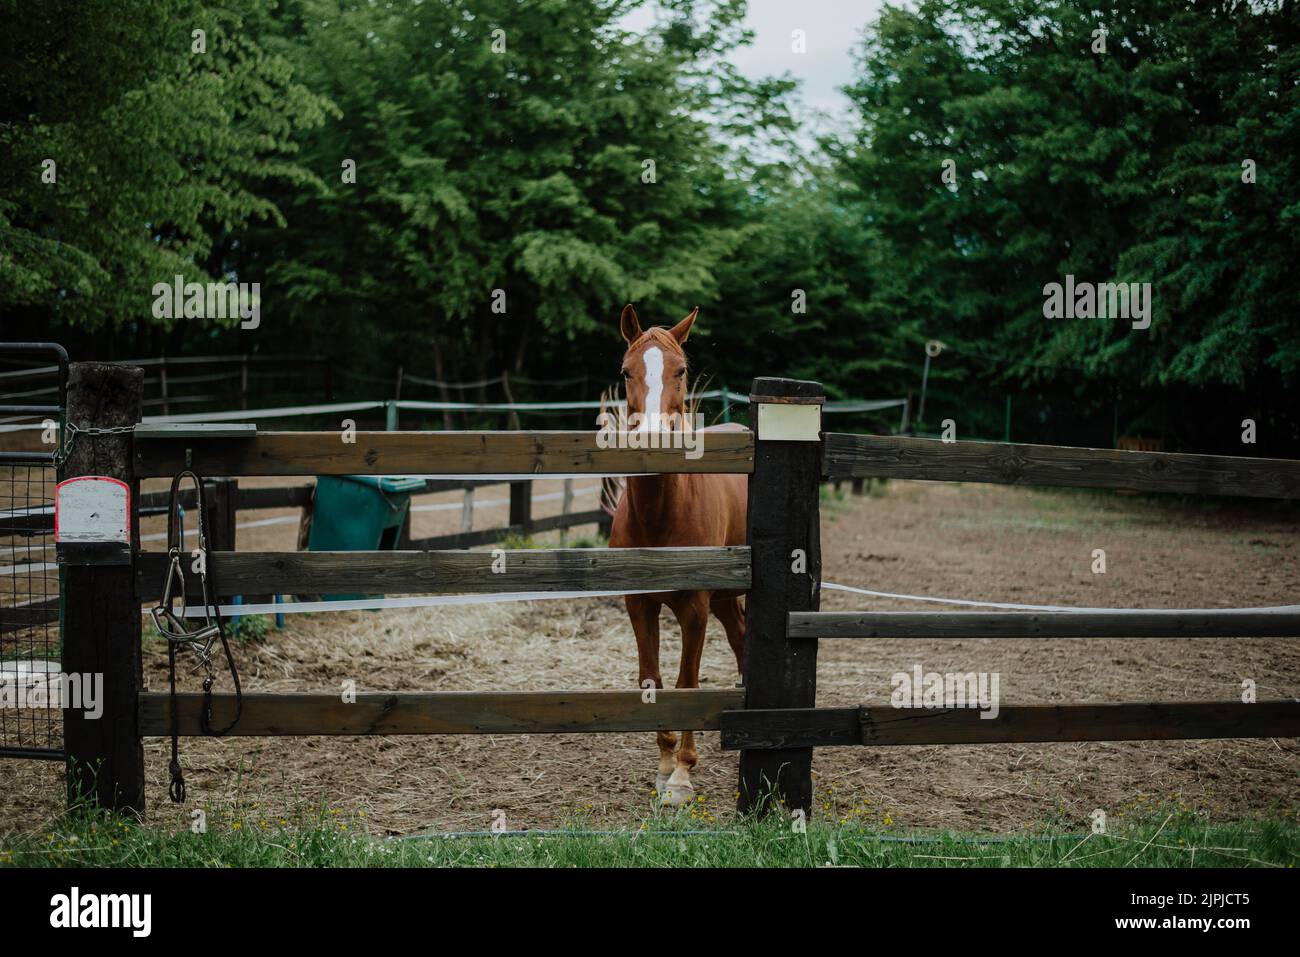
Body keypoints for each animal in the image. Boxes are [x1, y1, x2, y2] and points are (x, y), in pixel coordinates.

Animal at [607, 303, 749, 806]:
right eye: (625, 370)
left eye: (681, 369)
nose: (652, 438)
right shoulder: (639, 604)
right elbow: (652, 680)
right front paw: (665, 764)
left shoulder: (694, 608)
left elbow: (688, 682)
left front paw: (682, 776)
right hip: (725, 598)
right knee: (741, 637)